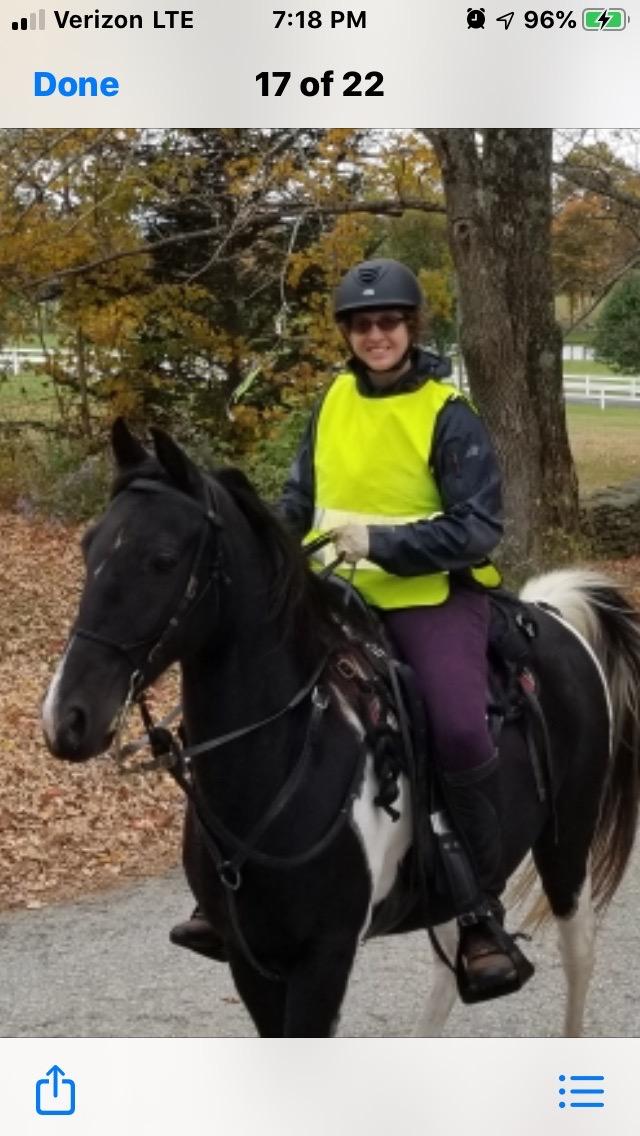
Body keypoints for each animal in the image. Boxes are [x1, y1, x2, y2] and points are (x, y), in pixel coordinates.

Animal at [42, 419, 640, 1037]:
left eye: (161, 558)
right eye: (89, 546)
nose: (68, 717)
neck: (282, 762)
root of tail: (548, 615)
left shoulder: (323, 960)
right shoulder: (250, 961)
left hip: (566, 844)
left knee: (578, 954)